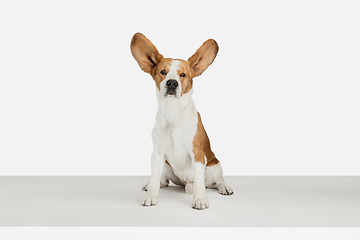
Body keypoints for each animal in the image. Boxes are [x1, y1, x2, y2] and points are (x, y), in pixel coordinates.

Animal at [130, 32, 233, 210]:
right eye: (163, 72)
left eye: (183, 75)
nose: (172, 83)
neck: (174, 111)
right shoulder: (157, 153)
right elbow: (155, 178)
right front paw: (151, 195)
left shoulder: (197, 153)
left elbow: (199, 181)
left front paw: (200, 199)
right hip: (166, 165)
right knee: (163, 181)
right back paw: (151, 185)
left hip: (215, 165)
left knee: (217, 181)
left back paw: (224, 187)